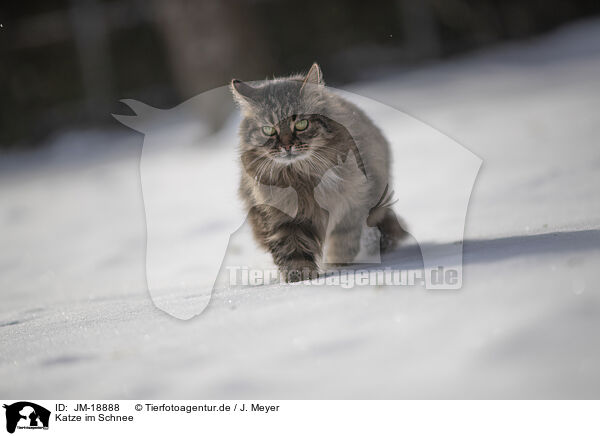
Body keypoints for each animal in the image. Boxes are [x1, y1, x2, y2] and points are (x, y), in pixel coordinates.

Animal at [232, 64, 406, 282]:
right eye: (269, 130)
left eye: (301, 125)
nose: (286, 146)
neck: (301, 177)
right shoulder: (282, 217)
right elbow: (292, 250)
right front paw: (300, 278)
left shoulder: (351, 202)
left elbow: (343, 238)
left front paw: (337, 264)